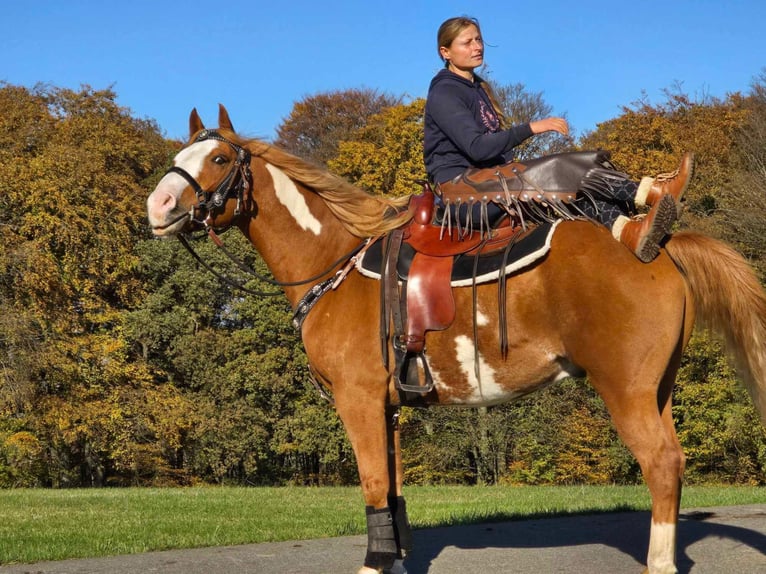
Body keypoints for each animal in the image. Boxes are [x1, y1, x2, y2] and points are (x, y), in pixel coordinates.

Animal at [146, 107, 766, 574]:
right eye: (177, 158)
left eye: (219, 159)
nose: (159, 205)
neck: (335, 263)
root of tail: (652, 245)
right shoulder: (390, 408)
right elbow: (392, 488)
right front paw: (394, 558)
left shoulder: (358, 400)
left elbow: (373, 481)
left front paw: (375, 563)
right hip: (658, 389)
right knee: (674, 463)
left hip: (626, 389)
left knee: (661, 464)